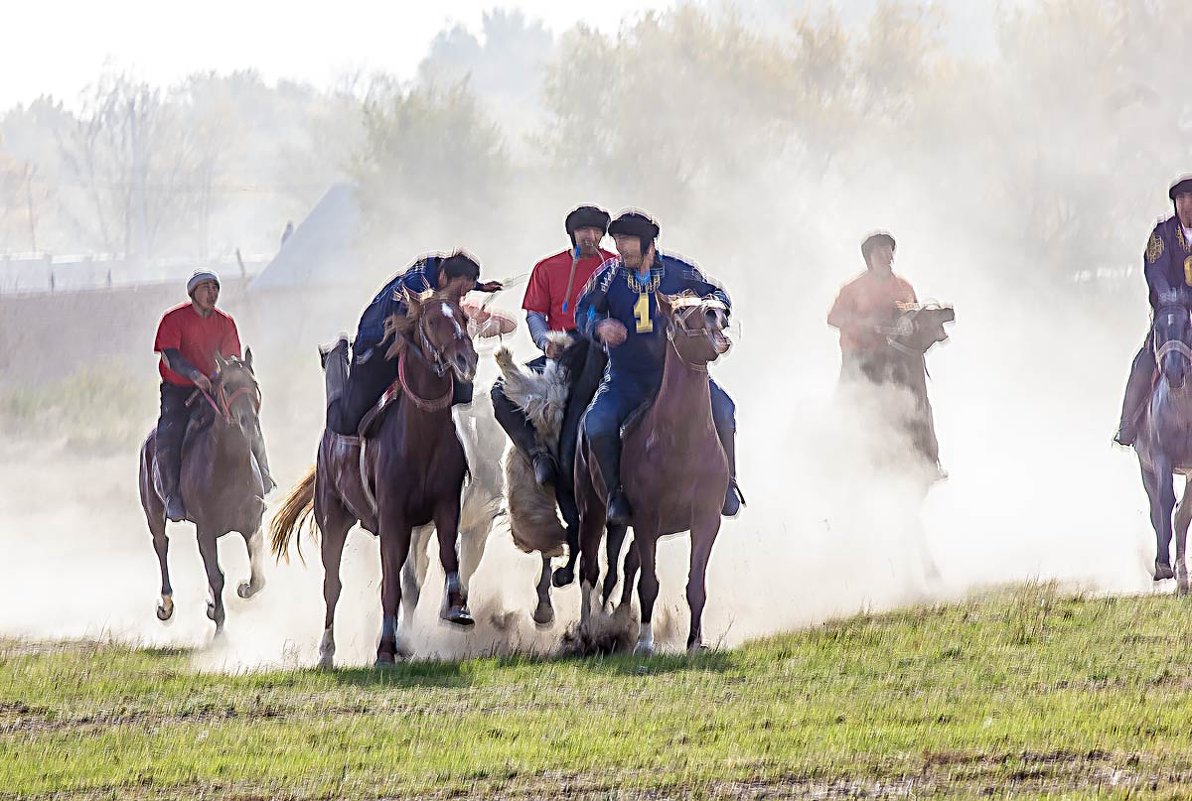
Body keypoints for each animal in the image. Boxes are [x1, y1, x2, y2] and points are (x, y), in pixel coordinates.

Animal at [137, 350, 268, 634]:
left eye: (253, 383)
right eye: (227, 386)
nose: (248, 422)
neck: (228, 469)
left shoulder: (252, 523)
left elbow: (258, 576)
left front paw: (243, 589)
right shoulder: (205, 532)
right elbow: (216, 577)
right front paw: (218, 626)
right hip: (153, 513)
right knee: (161, 545)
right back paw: (166, 605)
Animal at [268, 290, 476, 667]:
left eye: (464, 318)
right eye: (431, 320)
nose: (466, 358)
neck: (420, 436)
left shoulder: (446, 505)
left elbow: (447, 557)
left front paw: (457, 609)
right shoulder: (392, 519)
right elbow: (389, 585)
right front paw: (384, 649)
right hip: (332, 519)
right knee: (332, 586)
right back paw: (326, 652)